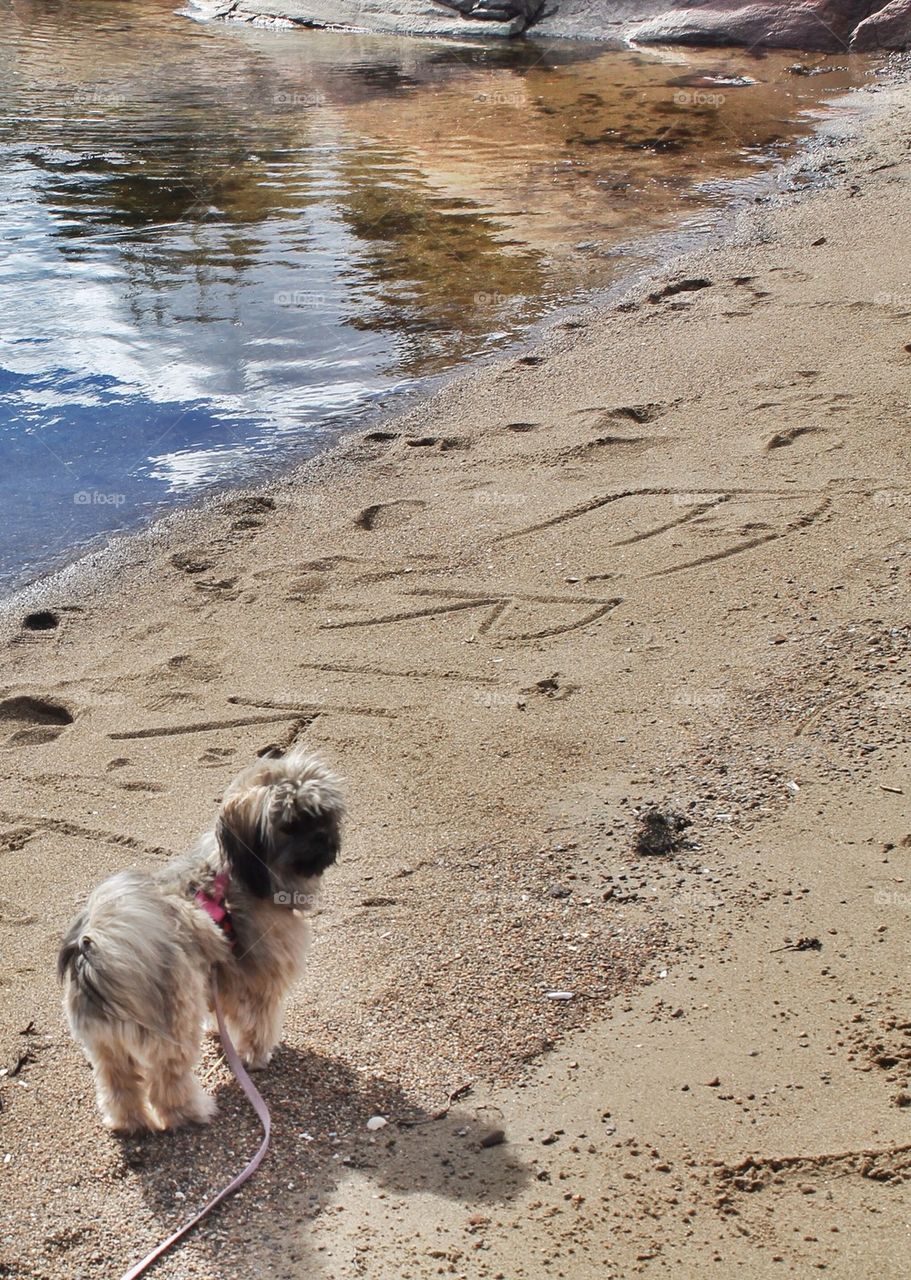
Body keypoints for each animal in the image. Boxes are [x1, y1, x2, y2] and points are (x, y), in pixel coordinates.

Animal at [56, 747, 342, 1131]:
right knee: (167, 1085)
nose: (323, 838)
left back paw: (130, 1123)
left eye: (322, 814)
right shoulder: (259, 981)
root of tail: (101, 956)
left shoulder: (220, 978)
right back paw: (191, 1113)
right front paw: (257, 1055)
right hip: (170, 1035)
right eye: (290, 826)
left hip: (106, 1047)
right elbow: (258, 1024)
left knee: (118, 1086)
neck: (242, 874)